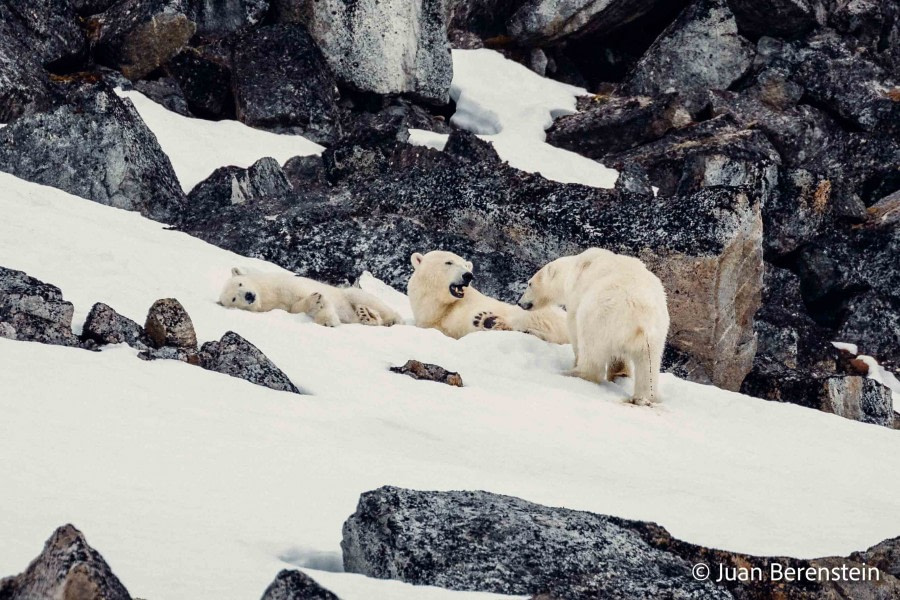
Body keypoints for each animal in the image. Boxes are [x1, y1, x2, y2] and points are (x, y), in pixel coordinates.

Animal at [218, 266, 400, 326]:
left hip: (351, 294)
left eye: (240, 283)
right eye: (234, 299)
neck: (267, 294)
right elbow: (295, 308)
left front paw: (326, 317)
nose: (249, 296)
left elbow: (303, 294)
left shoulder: (284, 285)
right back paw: (365, 315)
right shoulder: (277, 306)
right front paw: (323, 314)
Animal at [516, 246, 672, 406]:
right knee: (648, 365)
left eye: (529, 284)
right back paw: (643, 396)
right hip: (655, 334)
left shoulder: (576, 293)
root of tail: (641, 316)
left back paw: (573, 373)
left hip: (599, 316)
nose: (520, 302)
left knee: (590, 348)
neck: (573, 268)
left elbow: (573, 325)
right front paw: (619, 372)